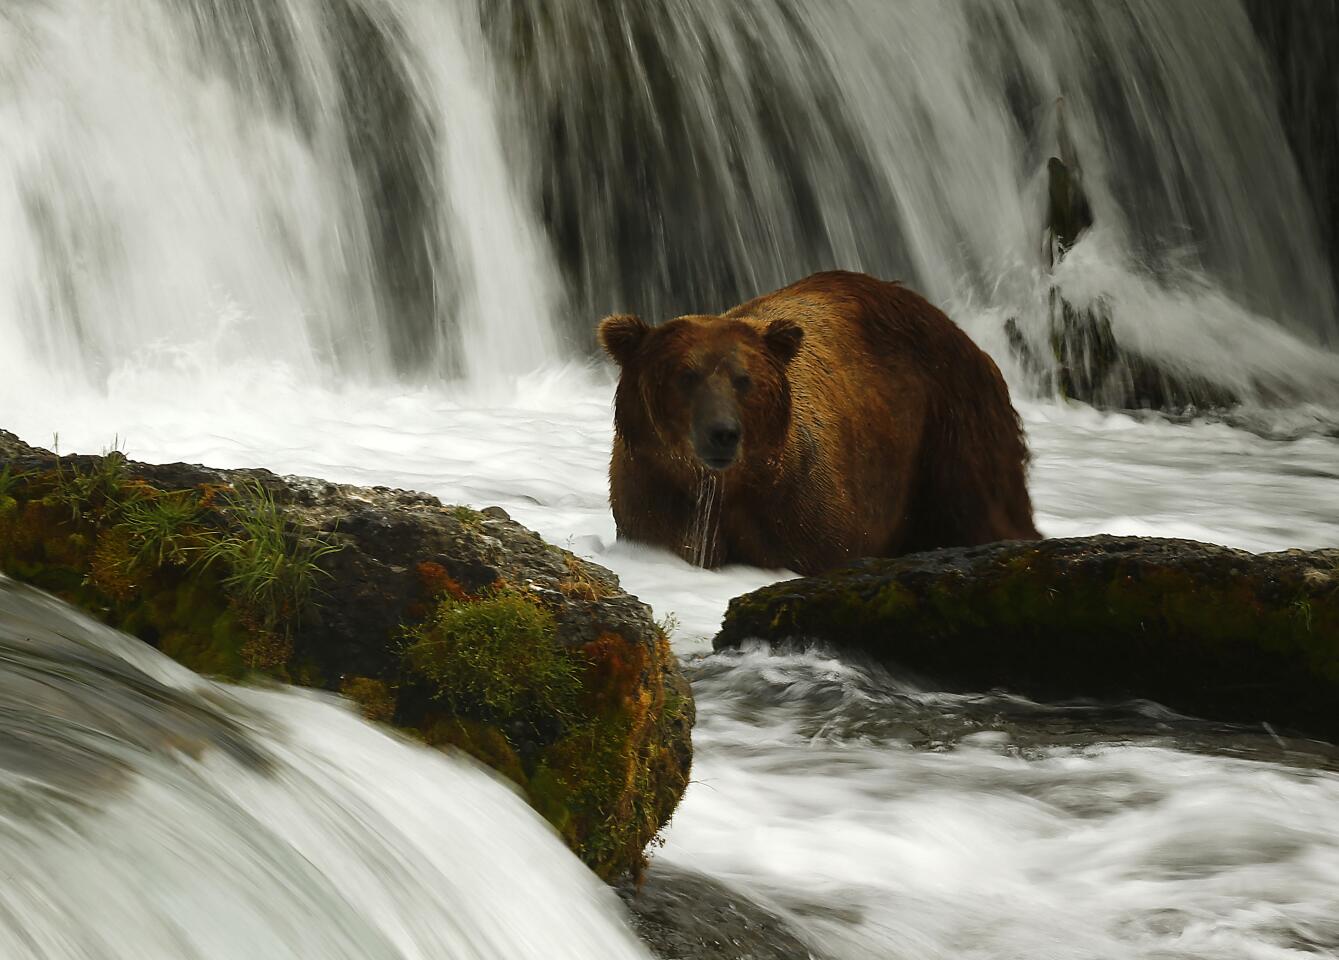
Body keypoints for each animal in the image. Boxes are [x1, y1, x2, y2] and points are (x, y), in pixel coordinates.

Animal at [602, 266, 1039, 573]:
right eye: (686, 375)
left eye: (743, 379)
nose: (722, 434)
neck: (729, 489)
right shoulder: (655, 502)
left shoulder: (808, 514)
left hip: (951, 427)